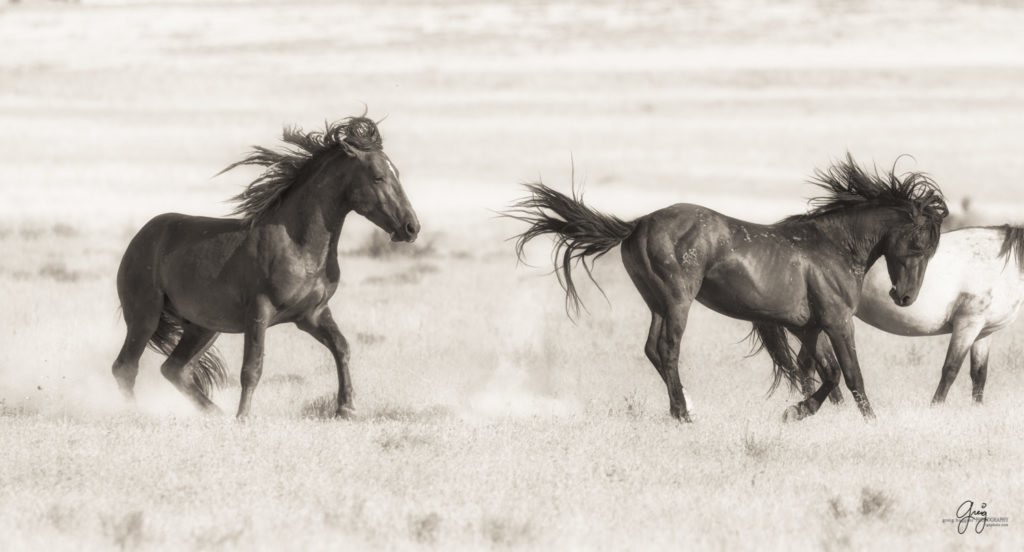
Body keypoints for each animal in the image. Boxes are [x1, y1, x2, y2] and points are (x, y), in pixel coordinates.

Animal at [110, 116, 417, 419]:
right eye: (378, 176)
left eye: (397, 174)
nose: (411, 227)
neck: (299, 246)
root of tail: (142, 236)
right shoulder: (259, 311)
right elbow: (252, 368)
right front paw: (244, 417)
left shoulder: (312, 314)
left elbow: (341, 347)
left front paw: (346, 408)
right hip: (145, 315)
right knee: (126, 367)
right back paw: (136, 415)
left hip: (203, 327)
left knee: (175, 369)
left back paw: (215, 414)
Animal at [507, 155, 946, 423]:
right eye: (918, 244)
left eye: (931, 249)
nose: (904, 298)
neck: (833, 247)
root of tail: (638, 225)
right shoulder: (838, 322)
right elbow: (851, 375)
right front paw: (868, 421)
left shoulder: (809, 327)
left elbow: (822, 373)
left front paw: (798, 411)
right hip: (678, 302)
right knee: (668, 350)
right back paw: (683, 414)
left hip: (657, 304)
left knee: (652, 349)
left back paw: (682, 408)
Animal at [798, 224, 1024, 405]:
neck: (1001, 267)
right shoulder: (967, 325)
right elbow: (950, 370)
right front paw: (935, 408)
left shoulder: (983, 332)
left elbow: (979, 374)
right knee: (812, 364)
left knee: (808, 363)